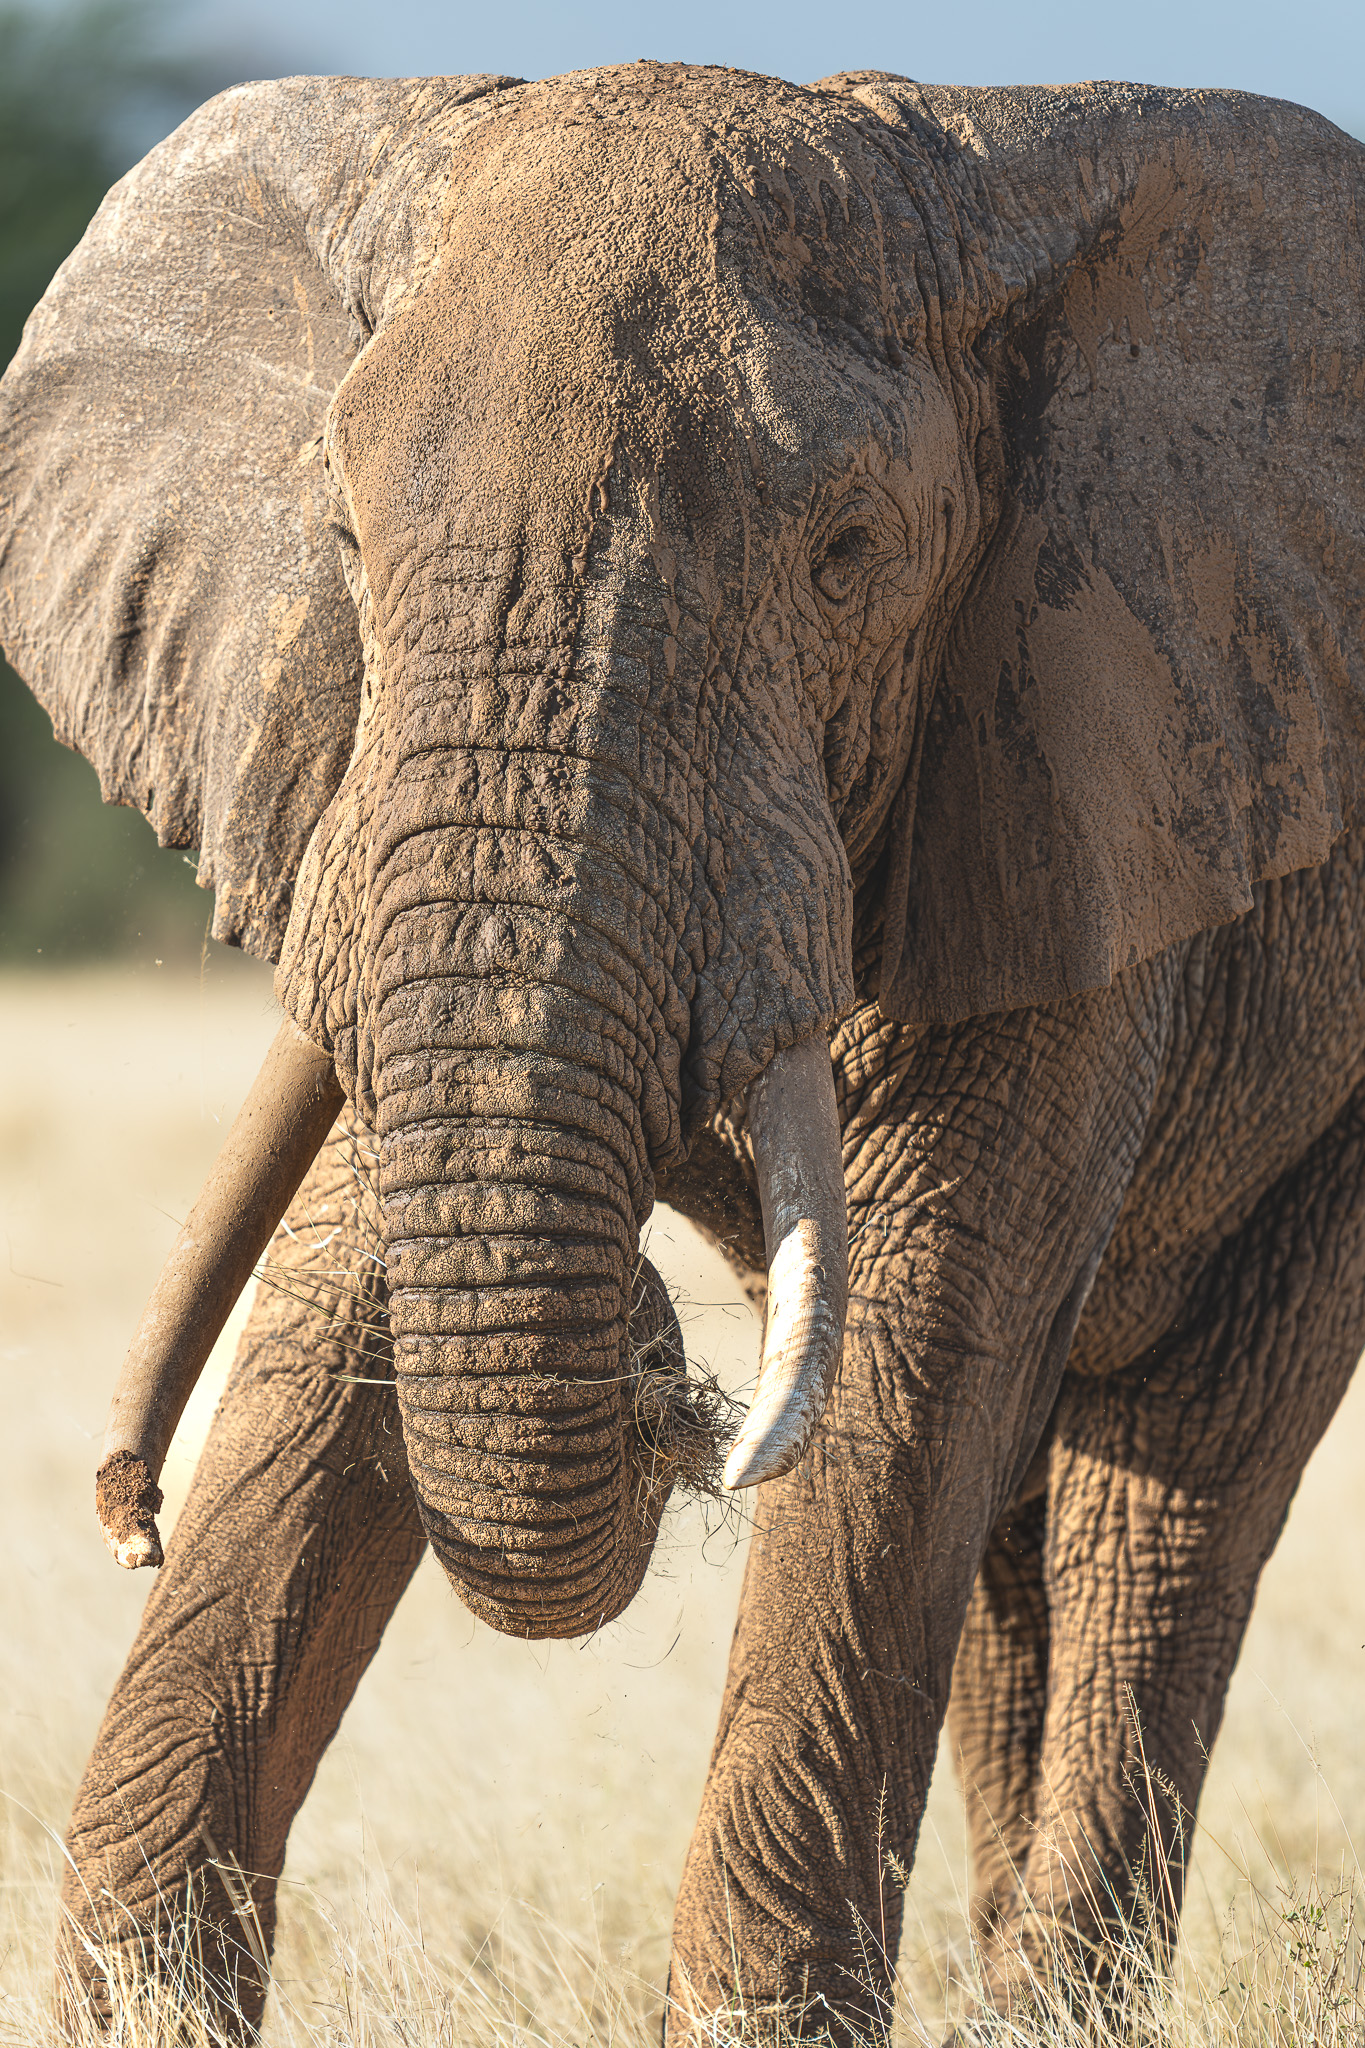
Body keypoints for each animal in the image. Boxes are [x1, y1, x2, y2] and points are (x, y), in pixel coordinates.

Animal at [2, 54, 1364, 2041]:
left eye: (848, 555)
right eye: (341, 543)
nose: (123, 1513)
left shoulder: (1081, 768)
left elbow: (904, 1357)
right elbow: (339, 1285)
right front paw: (140, 2005)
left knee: (1159, 1507)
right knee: (1023, 1546)